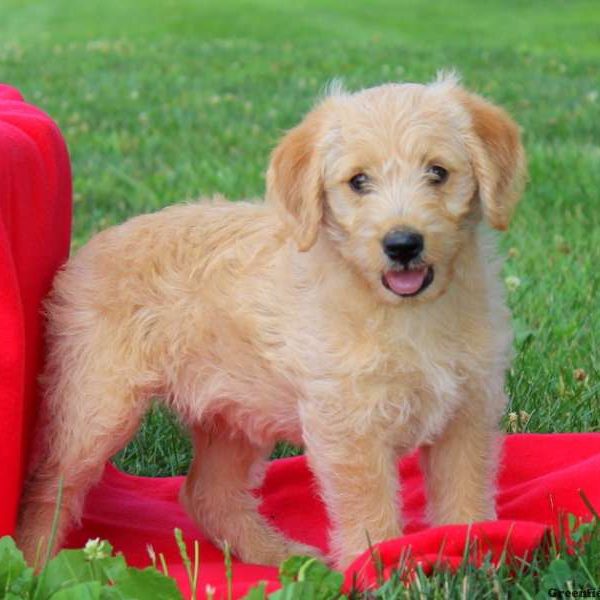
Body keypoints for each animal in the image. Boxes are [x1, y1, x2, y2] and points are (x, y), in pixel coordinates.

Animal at [16, 75, 524, 568]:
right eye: (358, 181)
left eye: (437, 172)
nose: (402, 244)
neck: (408, 315)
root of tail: (85, 251)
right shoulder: (350, 426)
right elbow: (370, 507)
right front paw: (379, 564)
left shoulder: (468, 411)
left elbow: (465, 496)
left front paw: (472, 549)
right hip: (96, 405)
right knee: (50, 483)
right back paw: (34, 566)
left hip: (233, 413)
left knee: (206, 494)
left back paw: (280, 556)